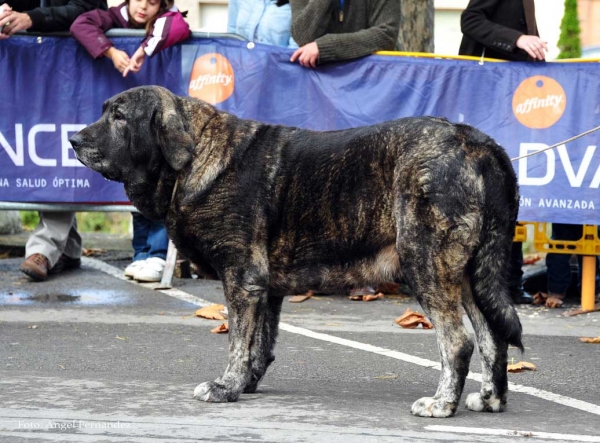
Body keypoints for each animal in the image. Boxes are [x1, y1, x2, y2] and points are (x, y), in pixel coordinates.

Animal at [69, 86, 520, 420]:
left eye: (119, 116)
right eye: (105, 111)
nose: (73, 139)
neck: (194, 157)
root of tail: (472, 140)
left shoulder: (242, 278)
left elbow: (238, 340)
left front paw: (225, 386)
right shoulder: (264, 289)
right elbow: (259, 343)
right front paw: (245, 384)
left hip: (425, 263)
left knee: (457, 341)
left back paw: (442, 404)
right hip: (467, 274)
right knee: (492, 336)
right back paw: (491, 399)